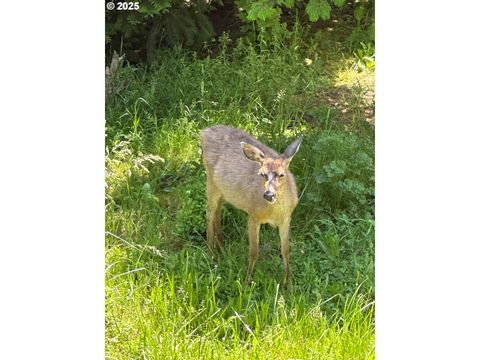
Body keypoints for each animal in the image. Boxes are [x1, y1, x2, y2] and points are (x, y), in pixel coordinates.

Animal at [201, 125, 302, 286]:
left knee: (217, 209)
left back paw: (221, 245)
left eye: (281, 174)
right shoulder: (253, 215)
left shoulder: (286, 218)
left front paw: (289, 284)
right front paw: (247, 281)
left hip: (224, 190)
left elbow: (286, 250)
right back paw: (211, 253)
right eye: (262, 174)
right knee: (209, 211)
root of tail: (204, 131)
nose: (268, 195)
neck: (273, 212)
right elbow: (253, 251)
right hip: (211, 180)